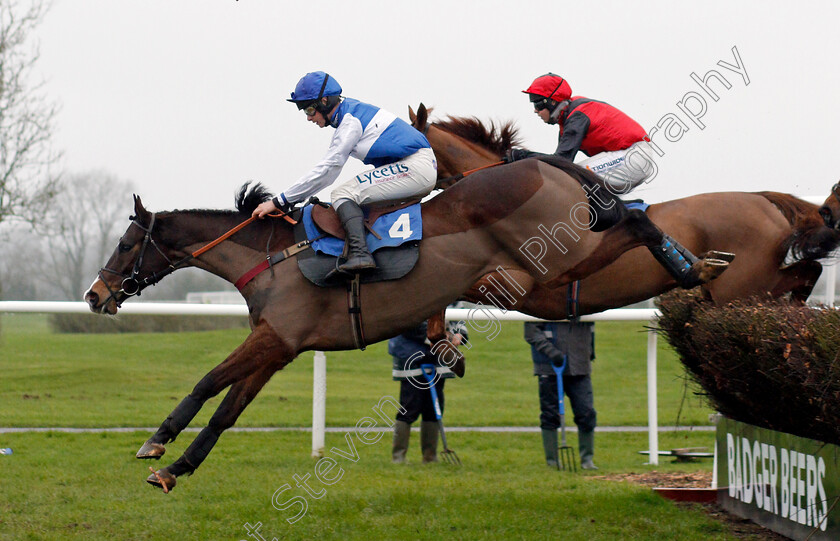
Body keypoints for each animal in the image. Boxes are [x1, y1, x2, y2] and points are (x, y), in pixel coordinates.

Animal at [87, 151, 728, 490]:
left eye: (125, 243)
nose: (95, 296)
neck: (270, 257)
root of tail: (536, 163)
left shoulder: (276, 336)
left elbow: (205, 384)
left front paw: (156, 444)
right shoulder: (280, 347)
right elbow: (227, 410)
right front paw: (178, 468)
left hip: (556, 258)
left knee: (630, 224)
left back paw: (691, 263)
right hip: (542, 275)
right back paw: (694, 263)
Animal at [412, 103, 840, 314]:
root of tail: (764, 199)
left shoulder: (518, 285)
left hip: (743, 288)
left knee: (801, 276)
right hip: (752, 283)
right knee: (809, 271)